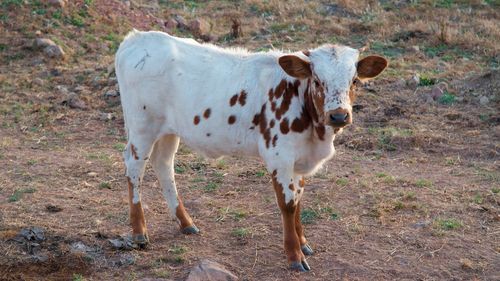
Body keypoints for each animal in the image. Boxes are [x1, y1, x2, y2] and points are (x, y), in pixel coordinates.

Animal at [114, 30, 386, 272]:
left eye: (354, 81)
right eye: (318, 81)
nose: (339, 116)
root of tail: (137, 38)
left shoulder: (299, 159)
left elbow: (298, 201)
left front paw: (303, 243)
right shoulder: (279, 156)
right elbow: (288, 204)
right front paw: (294, 255)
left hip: (169, 130)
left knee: (163, 164)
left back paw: (185, 222)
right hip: (142, 127)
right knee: (135, 168)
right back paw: (139, 232)